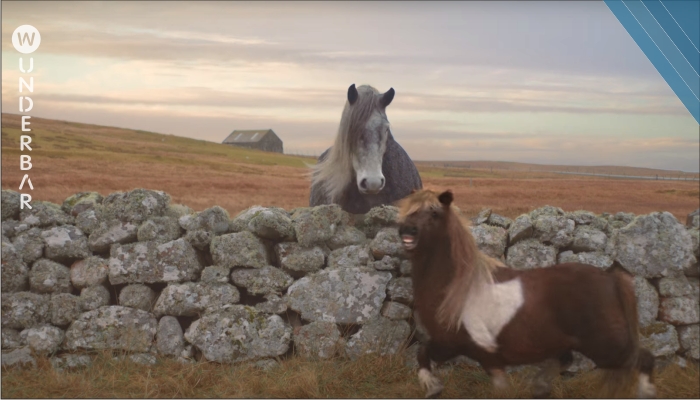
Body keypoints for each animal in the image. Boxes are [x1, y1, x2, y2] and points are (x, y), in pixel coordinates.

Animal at [400, 189, 656, 398]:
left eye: (434, 213)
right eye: (409, 211)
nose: (407, 231)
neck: (455, 286)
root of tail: (611, 278)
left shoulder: (456, 344)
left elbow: (422, 354)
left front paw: (432, 388)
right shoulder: (473, 352)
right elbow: (425, 354)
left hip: (606, 346)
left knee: (643, 359)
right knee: (568, 359)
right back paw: (541, 386)